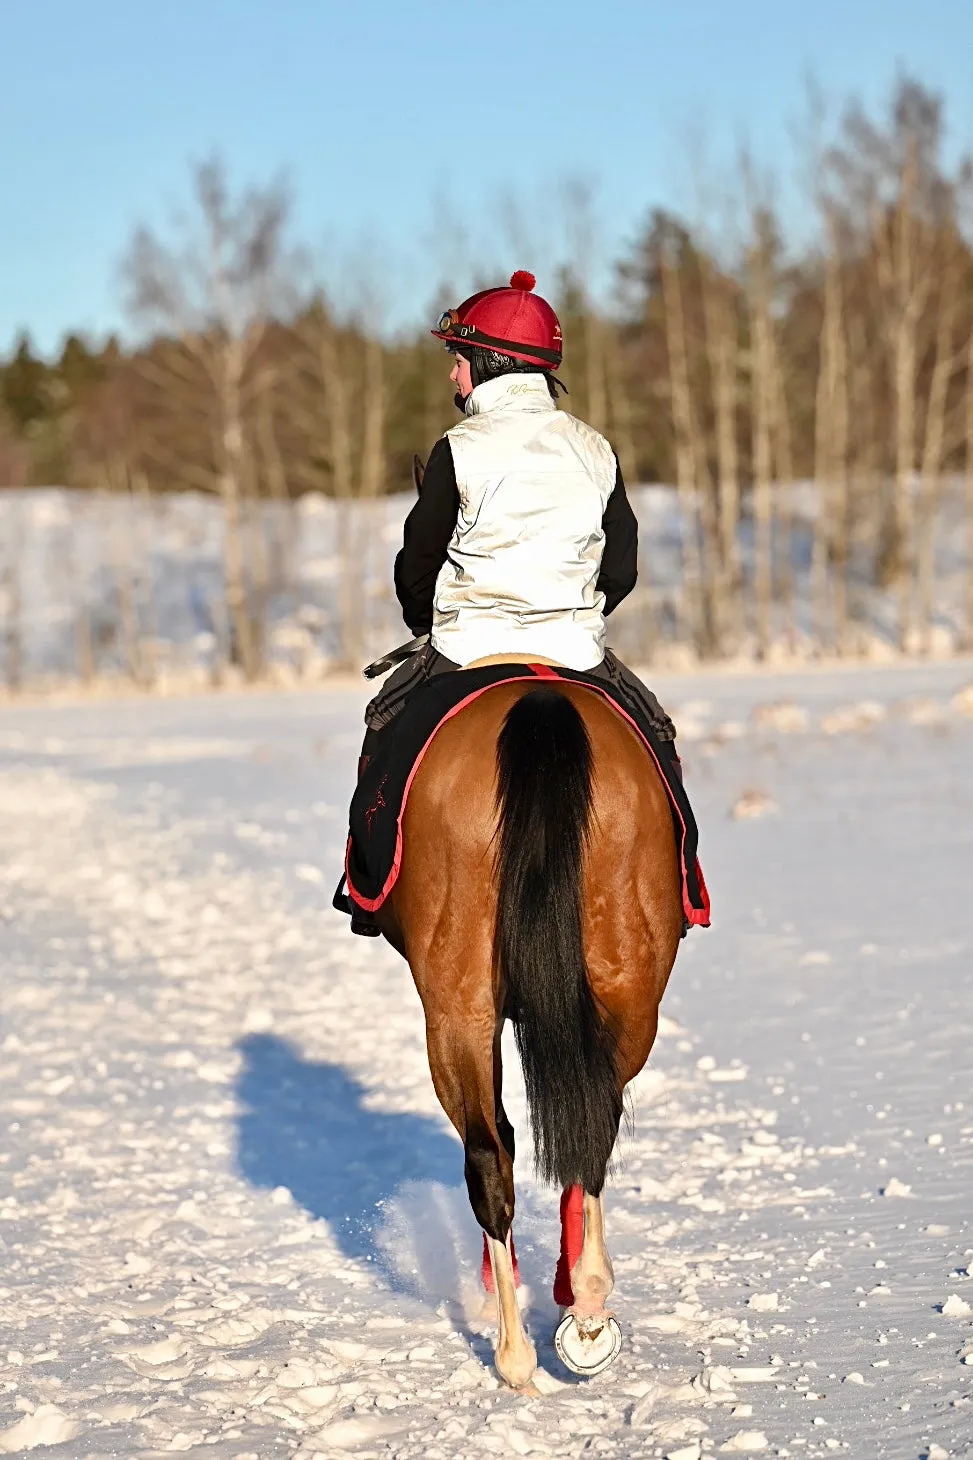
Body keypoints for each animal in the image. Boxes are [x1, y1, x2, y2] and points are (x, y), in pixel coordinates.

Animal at [371, 668, 680, 1384]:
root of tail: (539, 702)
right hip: (627, 991)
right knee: (588, 1126)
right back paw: (585, 1304)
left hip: (457, 1009)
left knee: (492, 1153)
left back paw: (517, 1353)